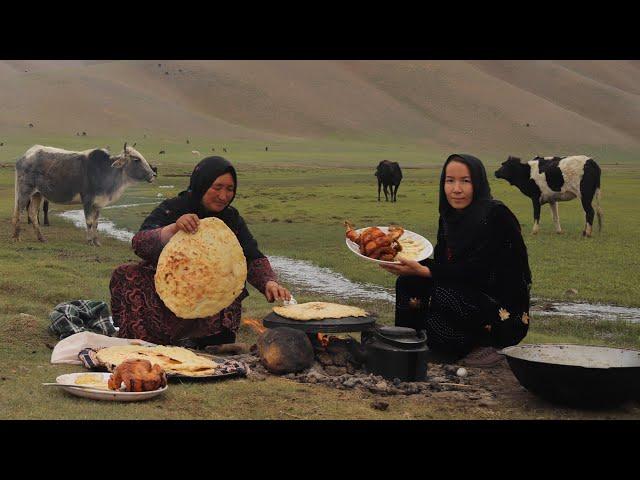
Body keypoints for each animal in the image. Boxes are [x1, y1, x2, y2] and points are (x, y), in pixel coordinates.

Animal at [12, 142, 155, 246]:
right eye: (136, 159)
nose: (153, 175)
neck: (105, 170)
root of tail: (25, 156)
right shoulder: (87, 200)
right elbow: (89, 222)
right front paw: (89, 241)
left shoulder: (98, 203)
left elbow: (96, 223)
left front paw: (97, 241)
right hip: (25, 191)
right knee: (19, 211)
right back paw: (16, 237)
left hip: (38, 194)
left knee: (32, 213)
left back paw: (41, 238)